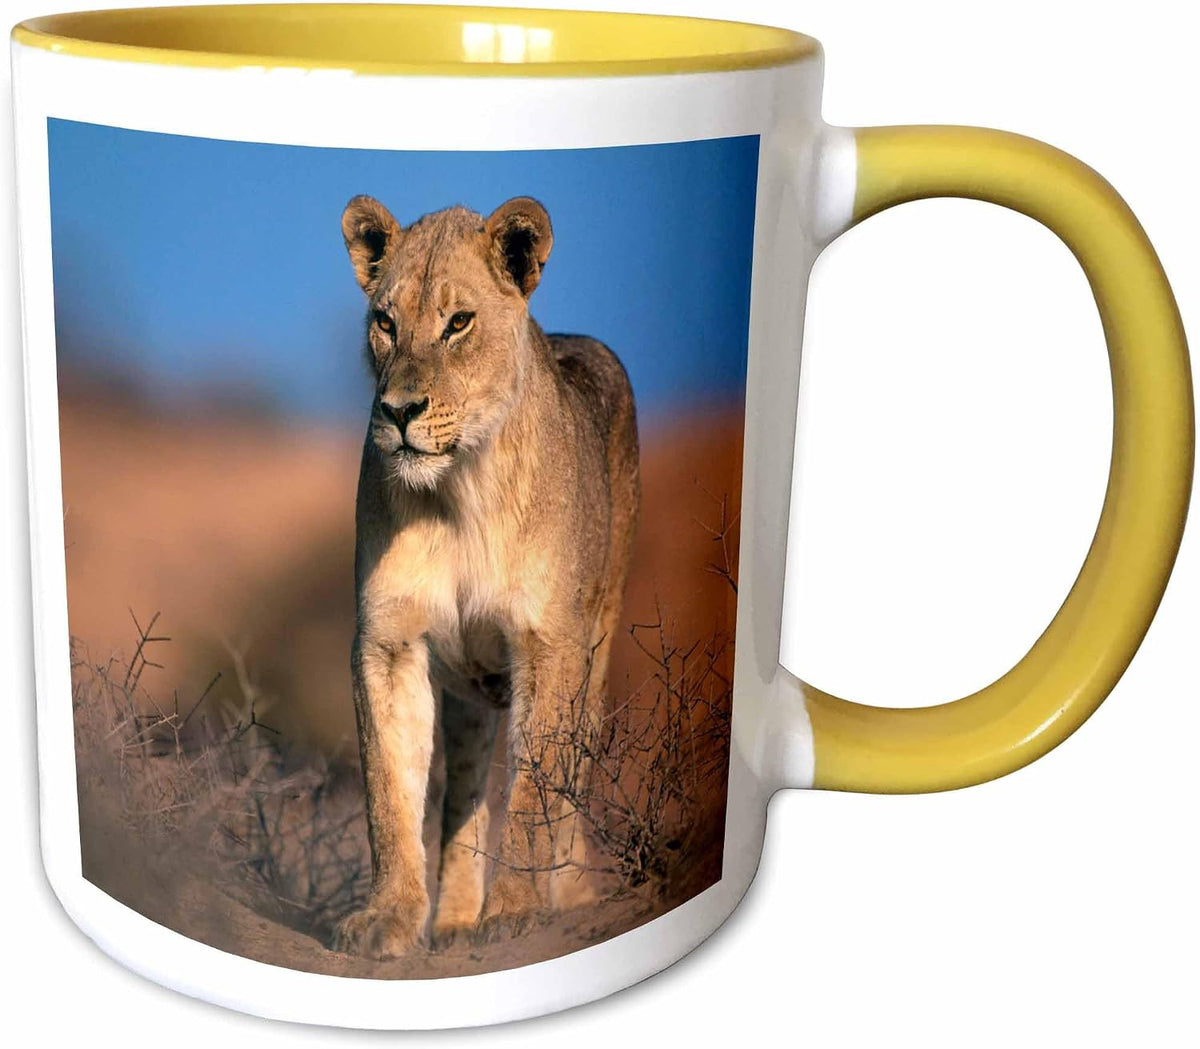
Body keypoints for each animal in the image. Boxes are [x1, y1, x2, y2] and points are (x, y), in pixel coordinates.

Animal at [330, 194, 639, 959]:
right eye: (386, 322)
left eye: (458, 323)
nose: (399, 412)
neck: (458, 491)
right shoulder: (388, 642)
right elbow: (390, 791)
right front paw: (390, 916)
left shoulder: (550, 643)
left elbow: (537, 791)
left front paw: (518, 912)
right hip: (468, 691)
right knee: (463, 797)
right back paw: (454, 920)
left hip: (597, 643)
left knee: (571, 781)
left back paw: (562, 897)